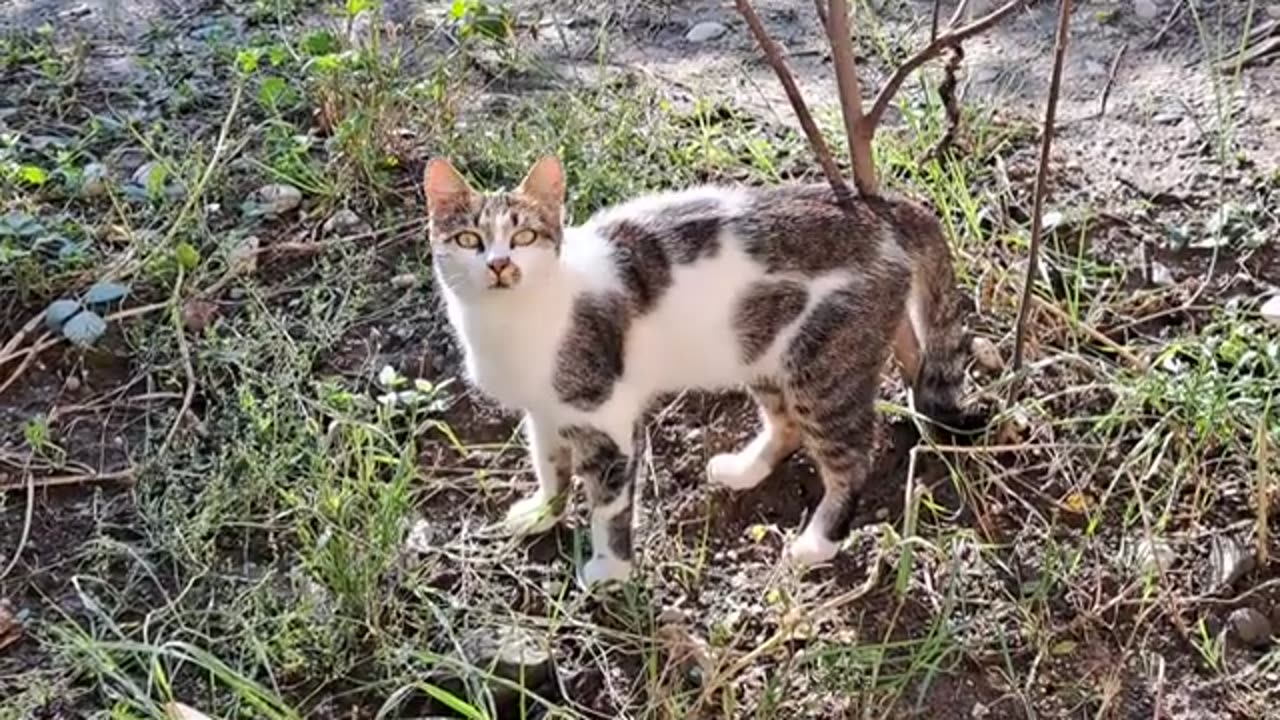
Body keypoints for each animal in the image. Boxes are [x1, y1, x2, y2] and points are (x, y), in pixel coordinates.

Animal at [424, 154, 972, 586]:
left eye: (524, 236)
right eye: (469, 239)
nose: (499, 265)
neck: (514, 321)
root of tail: (883, 209)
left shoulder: (607, 419)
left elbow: (608, 505)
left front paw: (609, 570)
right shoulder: (544, 413)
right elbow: (549, 466)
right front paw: (542, 512)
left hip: (823, 373)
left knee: (850, 460)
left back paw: (817, 542)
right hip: (764, 352)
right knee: (787, 425)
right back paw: (744, 469)